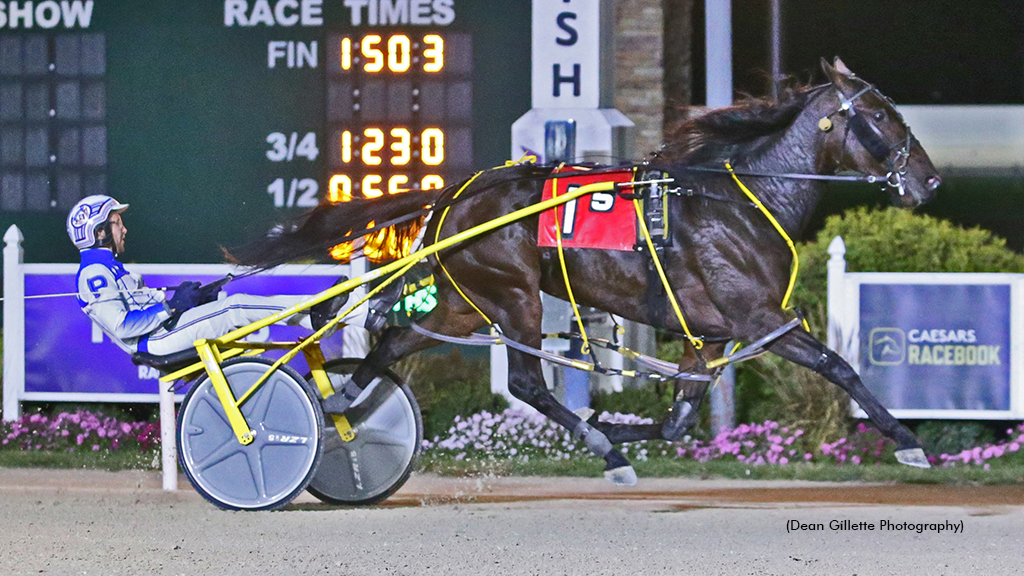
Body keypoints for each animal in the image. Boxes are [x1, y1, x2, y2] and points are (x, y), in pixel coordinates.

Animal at [235, 58, 937, 481]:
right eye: (881, 116)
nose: (929, 180)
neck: (741, 199)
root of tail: (454, 193)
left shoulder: (709, 335)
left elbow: (680, 420)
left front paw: (622, 426)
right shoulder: (761, 317)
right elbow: (839, 366)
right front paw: (908, 439)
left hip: (465, 303)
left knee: (394, 341)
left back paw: (343, 406)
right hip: (513, 296)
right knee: (525, 383)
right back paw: (602, 449)